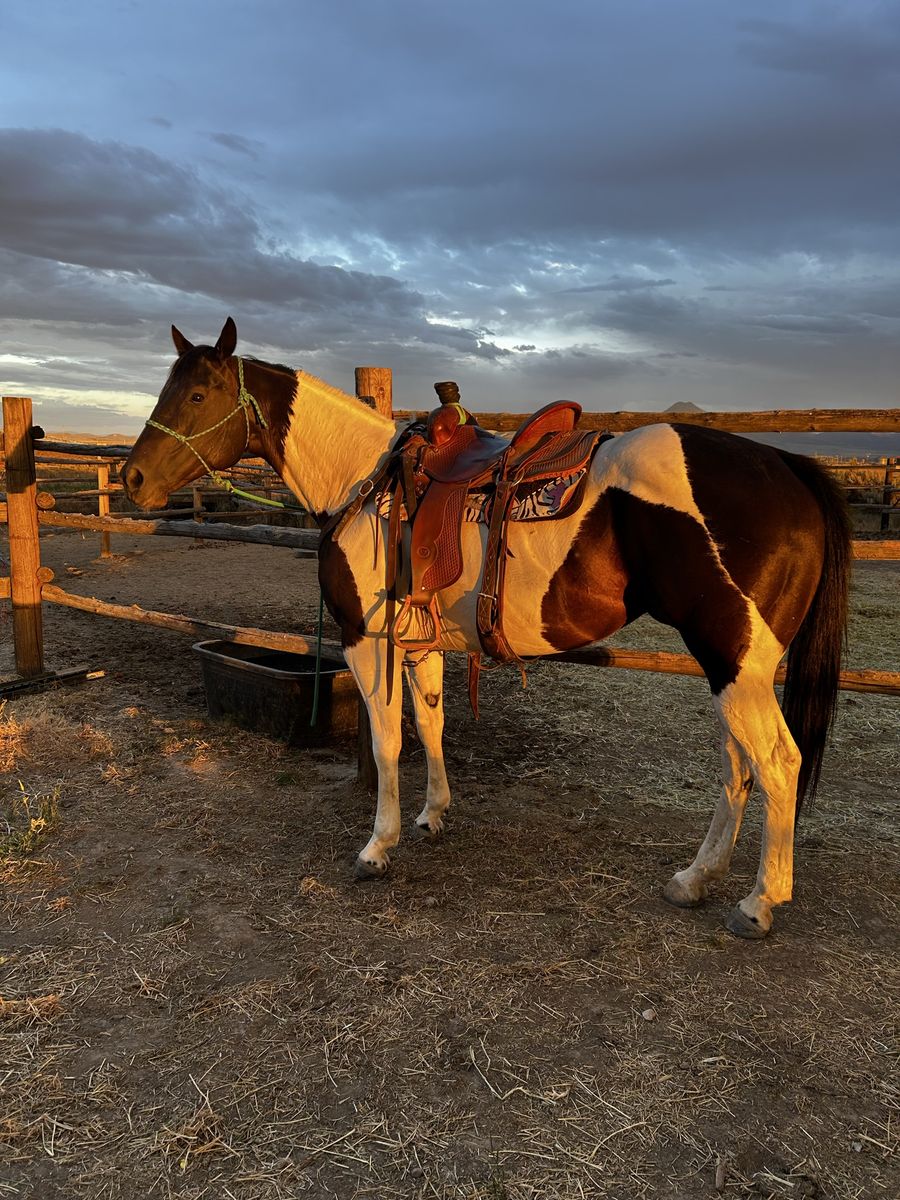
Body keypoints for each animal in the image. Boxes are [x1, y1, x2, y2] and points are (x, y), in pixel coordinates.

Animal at [122, 318, 851, 939]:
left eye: (197, 393)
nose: (131, 477)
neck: (365, 481)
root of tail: (787, 468)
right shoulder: (420, 642)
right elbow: (431, 722)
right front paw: (433, 814)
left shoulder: (368, 642)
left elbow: (388, 741)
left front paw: (377, 845)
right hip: (736, 665)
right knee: (739, 766)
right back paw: (695, 879)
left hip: (732, 659)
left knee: (777, 762)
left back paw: (759, 903)